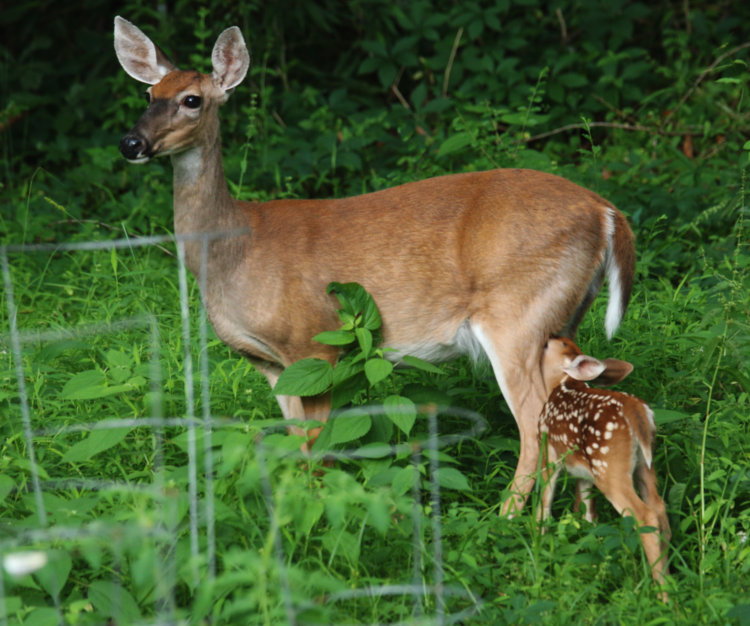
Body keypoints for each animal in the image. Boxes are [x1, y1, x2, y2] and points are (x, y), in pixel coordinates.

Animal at [113, 16, 636, 515]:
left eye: (192, 100)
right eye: (148, 93)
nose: (131, 143)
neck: (235, 250)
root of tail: (607, 212)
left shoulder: (313, 345)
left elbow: (318, 450)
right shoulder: (272, 365)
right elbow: (296, 446)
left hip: (517, 316)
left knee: (535, 428)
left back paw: (510, 519)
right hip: (560, 319)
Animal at [537, 337, 670, 597]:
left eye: (553, 345)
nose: (548, 337)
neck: (559, 385)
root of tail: (636, 410)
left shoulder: (548, 449)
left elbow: (544, 501)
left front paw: (537, 541)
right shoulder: (584, 472)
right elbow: (588, 512)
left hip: (610, 467)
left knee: (645, 515)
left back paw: (663, 595)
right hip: (643, 464)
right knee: (659, 507)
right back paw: (671, 579)